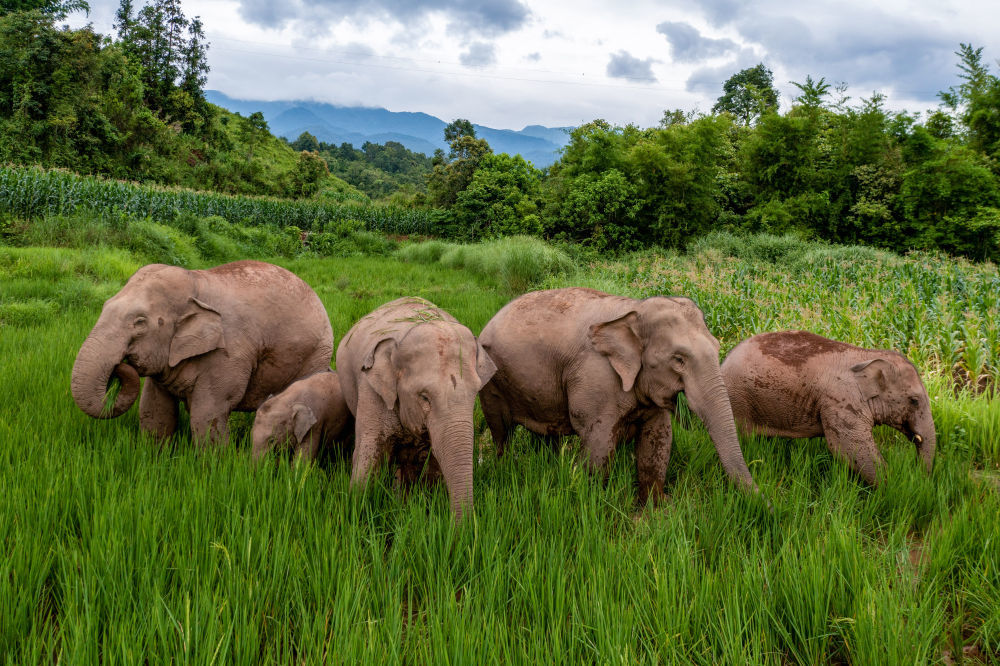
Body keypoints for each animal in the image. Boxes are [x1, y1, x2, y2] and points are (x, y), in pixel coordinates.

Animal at [71, 261, 333, 446]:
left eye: (139, 322)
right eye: (104, 306)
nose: (119, 366)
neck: (195, 281)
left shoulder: (228, 353)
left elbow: (207, 413)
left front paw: (215, 470)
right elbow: (154, 409)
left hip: (316, 354)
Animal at [336, 297, 496, 518]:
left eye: (475, 393)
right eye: (424, 397)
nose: (460, 527)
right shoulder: (371, 391)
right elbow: (368, 456)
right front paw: (355, 512)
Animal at [479, 287, 759, 504]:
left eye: (717, 347)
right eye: (678, 360)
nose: (765, 502)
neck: (633, 310)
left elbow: (658, 439)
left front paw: (654, 510)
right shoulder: (595, 378)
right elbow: (599, 443)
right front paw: (592, 504)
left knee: (545, 435)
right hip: (491, 382)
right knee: (501, 431)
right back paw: (505, 468)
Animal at [720, 330, 936, 484]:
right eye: (914, 400)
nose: (919, 475)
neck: (868, 356)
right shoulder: (841, 402)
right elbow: (849, 449)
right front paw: (893, 487)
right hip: (738, 399)